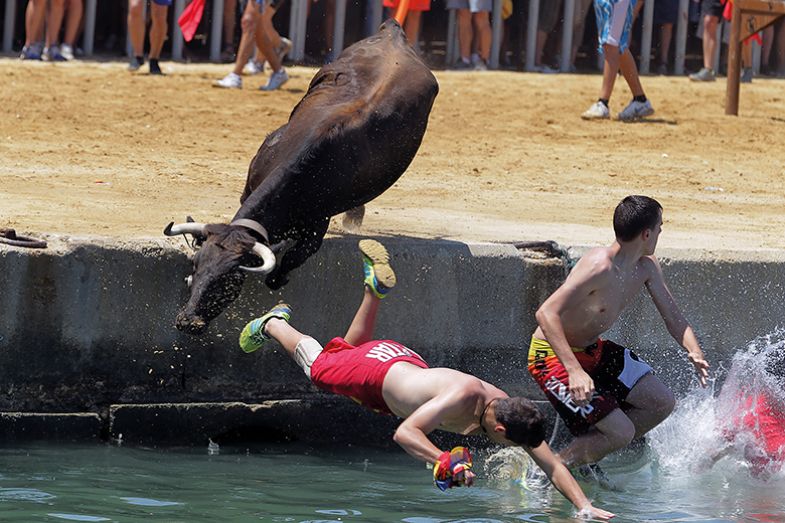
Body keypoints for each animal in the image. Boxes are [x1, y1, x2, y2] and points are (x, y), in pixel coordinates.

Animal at [165, 19, 439, 335]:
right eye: (195, 265)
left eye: (230, 279)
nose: (188, 322)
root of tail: (392, 32)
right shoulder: (249, 187)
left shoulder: (316, 225)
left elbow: (286, 266)